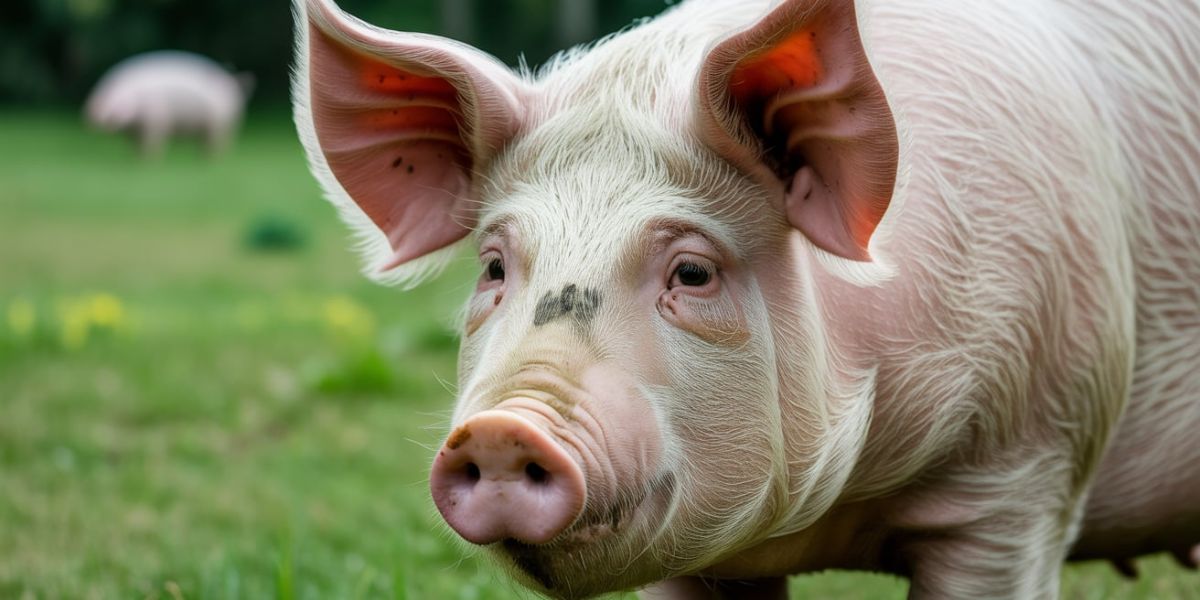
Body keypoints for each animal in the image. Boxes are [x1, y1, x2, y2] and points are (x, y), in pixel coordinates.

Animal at [85, 51, 253, 158]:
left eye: (115, 107)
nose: (93, 116)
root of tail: (231, 80)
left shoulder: (156, 122)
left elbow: (150, 145)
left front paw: (147, 163)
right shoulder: (137, 130)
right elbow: (136, 145)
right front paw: (133, 158)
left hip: (220, 124)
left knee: (216, 144)